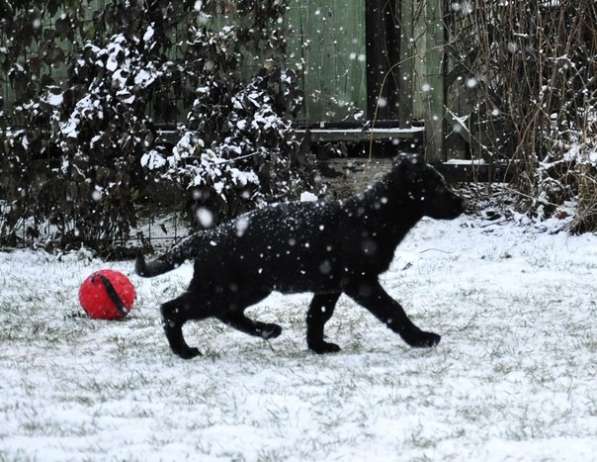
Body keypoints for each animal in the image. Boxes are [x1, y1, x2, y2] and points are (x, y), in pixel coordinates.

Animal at [137, 157, 464, 360]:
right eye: (438, 187)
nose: (462, 203)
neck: (374, 216)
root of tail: (207, 236)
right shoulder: (361, 282)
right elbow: (393, 309)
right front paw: (421, 338)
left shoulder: (331, 285)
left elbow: (318, 315)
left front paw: (318, 346)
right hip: (223, 287)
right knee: (173, 309)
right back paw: (184, 351)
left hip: (248, 288)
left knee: (227, 313)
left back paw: (267, 330)